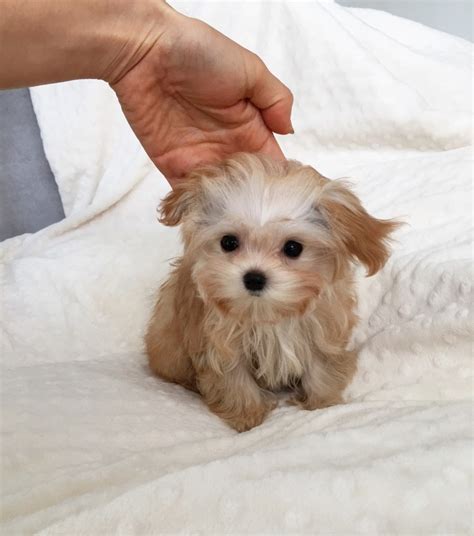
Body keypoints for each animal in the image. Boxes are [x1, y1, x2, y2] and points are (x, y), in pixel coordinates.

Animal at [144, 152, 396, 432]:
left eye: (293, 248)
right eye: (229, 242)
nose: (254, 278)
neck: (267, 314)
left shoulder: (322, 331)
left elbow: (321, 369)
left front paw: (321, 404)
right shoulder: (220, 342)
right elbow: (234, 379)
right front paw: (247, 418)